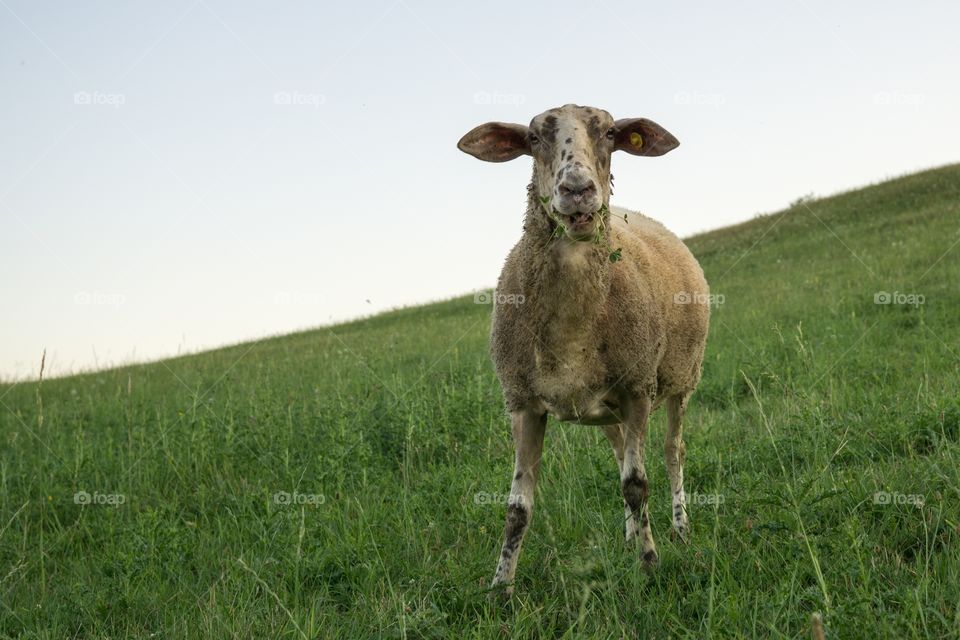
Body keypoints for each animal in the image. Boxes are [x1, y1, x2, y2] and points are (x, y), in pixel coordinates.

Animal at [457, 104, 710, 596]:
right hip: (606, 410)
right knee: (619, 454)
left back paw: (679, 528)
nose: (577, 190)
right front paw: (500, 590)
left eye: (611, 133)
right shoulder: (523, 404)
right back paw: (631, 533)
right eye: (533, 138)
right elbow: (517, 507)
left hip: (679, 381)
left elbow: (637, 484)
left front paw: (649, 565)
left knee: (673, 452)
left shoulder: (637, 389)